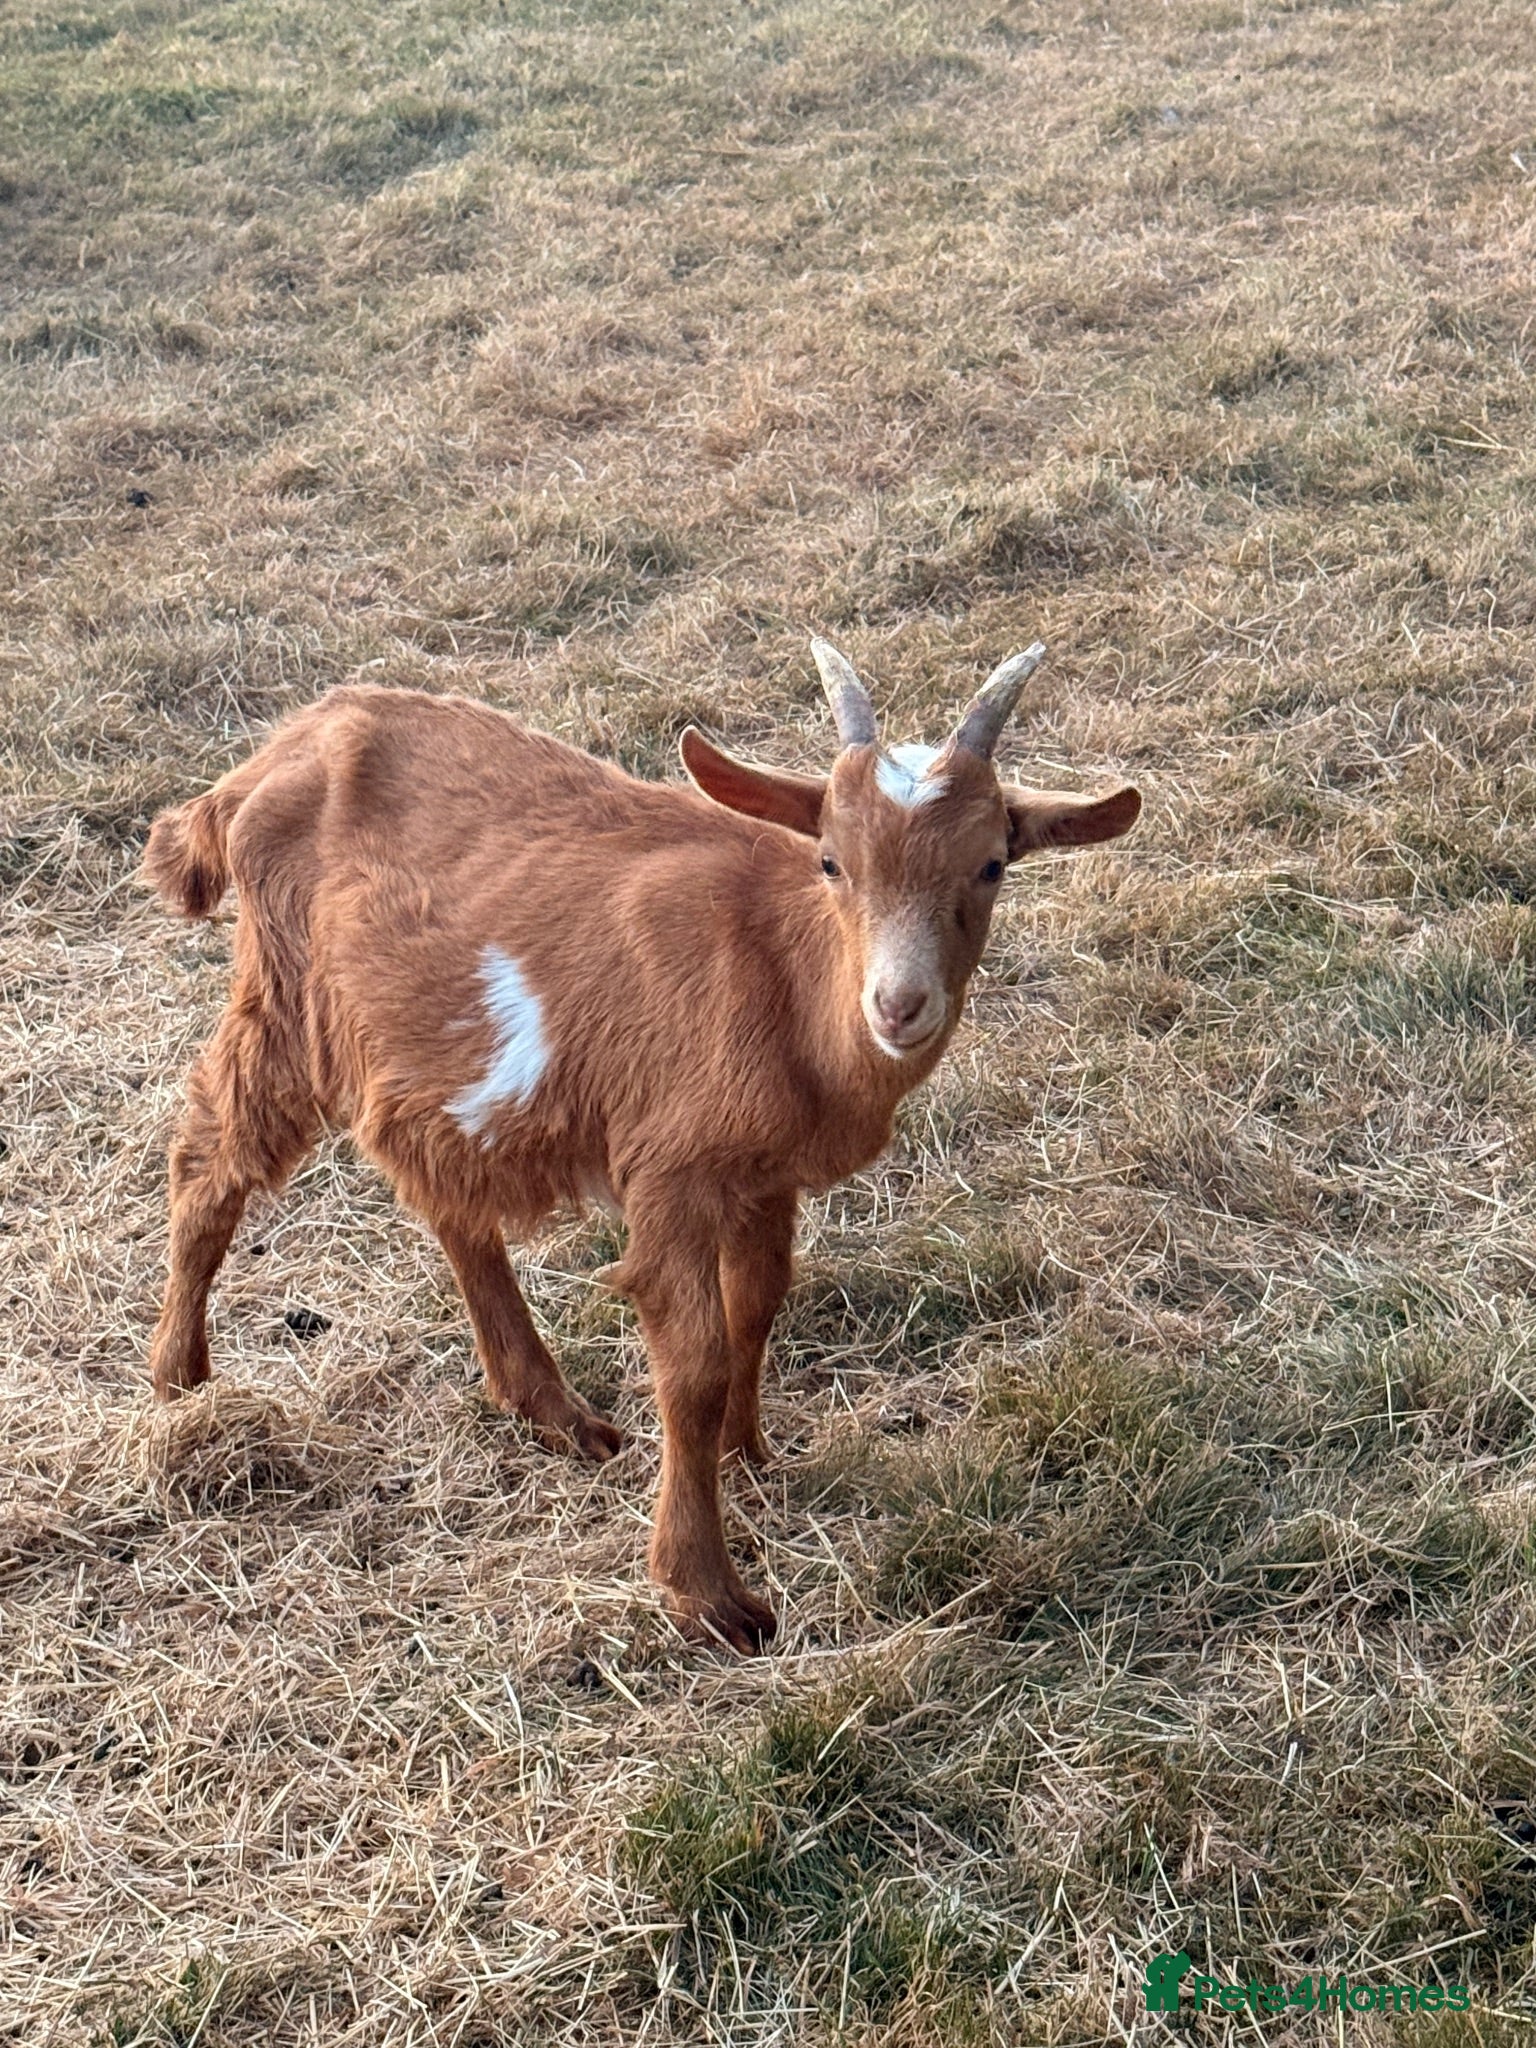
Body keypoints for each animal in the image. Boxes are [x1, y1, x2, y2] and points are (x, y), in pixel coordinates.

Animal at [142, 641, 1140, 1650]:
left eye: (992, 866)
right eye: (830, 860)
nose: (898, 1006)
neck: (784, 976)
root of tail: (269, 757)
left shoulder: (764, 1174)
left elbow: (758, 1303)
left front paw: (748, 1451)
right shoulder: (671, 1169)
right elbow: (692, 1361)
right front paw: (708, 1592)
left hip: (405, 1036)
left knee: (442, 1192)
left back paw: (554, 1413)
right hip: (287, 993)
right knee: (210, 1156)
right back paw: (180, 1379)